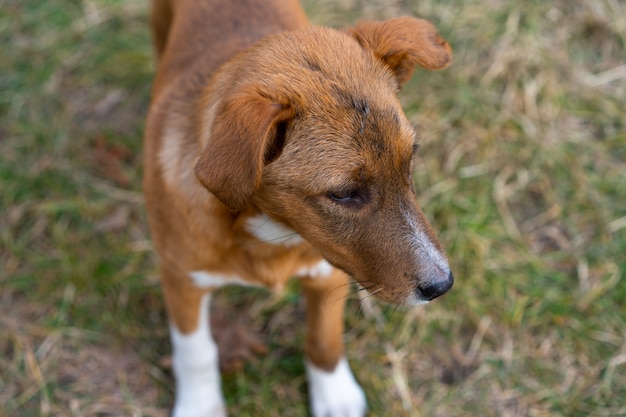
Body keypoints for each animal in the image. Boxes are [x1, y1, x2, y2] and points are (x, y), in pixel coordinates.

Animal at [143, 1, 450, 414]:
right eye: (344, 193)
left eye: (410, 160)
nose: (442, 285)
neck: (270, 233)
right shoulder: (182, 278)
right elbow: (195, 352)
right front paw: (200, 406)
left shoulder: (329, 267)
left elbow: (324, 337)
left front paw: (334, 395)